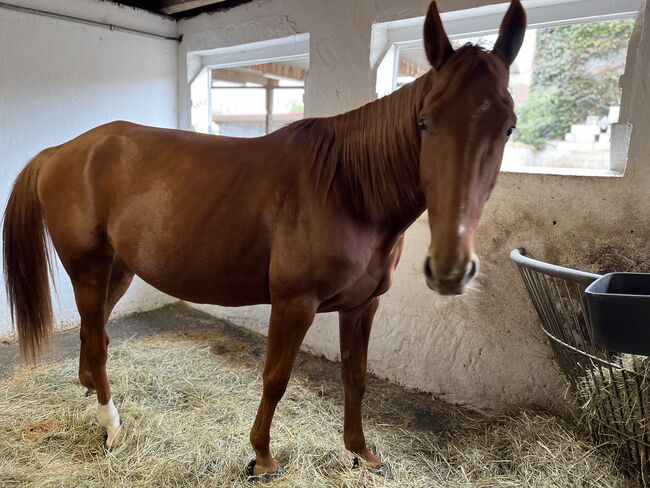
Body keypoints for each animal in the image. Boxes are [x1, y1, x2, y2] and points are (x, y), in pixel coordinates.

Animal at [3, 0, 520, 478]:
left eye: (508, 126)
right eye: (425, 122)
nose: (451, 270)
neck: (347, 188)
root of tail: (61, 151)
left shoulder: (362, 306)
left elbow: (355, 378)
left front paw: (361, 452)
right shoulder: (294, 304)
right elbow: (275, 378)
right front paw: (262, 457)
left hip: (120, 270)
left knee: (96, 336)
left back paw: (92, 391)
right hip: (88, 270)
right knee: (94, 340)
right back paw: (111, 427)